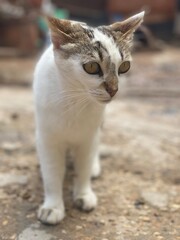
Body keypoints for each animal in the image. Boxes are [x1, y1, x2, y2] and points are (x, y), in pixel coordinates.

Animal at [33, 11, 144, 225]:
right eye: (92, 67)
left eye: (124, 67)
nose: (114, 89)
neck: (75, 101)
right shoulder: (47, 139)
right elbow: (52, 173)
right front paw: (53, 206)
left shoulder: (88, 138)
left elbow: (83, 167)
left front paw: (84, 195)